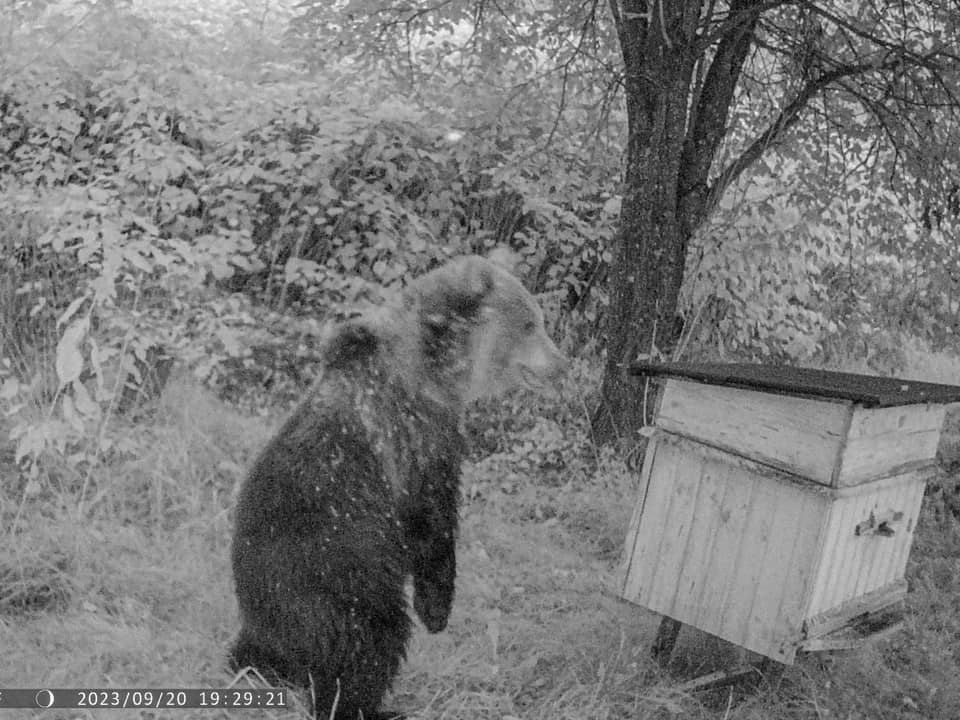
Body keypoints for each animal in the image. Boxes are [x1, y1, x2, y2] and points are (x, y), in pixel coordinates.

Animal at [228, 255, 568, 720]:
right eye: (531, 323)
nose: (561, 363)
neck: (438, 368)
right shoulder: (416, 437)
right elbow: (433, 520)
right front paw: (437, 610)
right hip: (334, 584)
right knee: (368, 644)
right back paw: (370, 707)